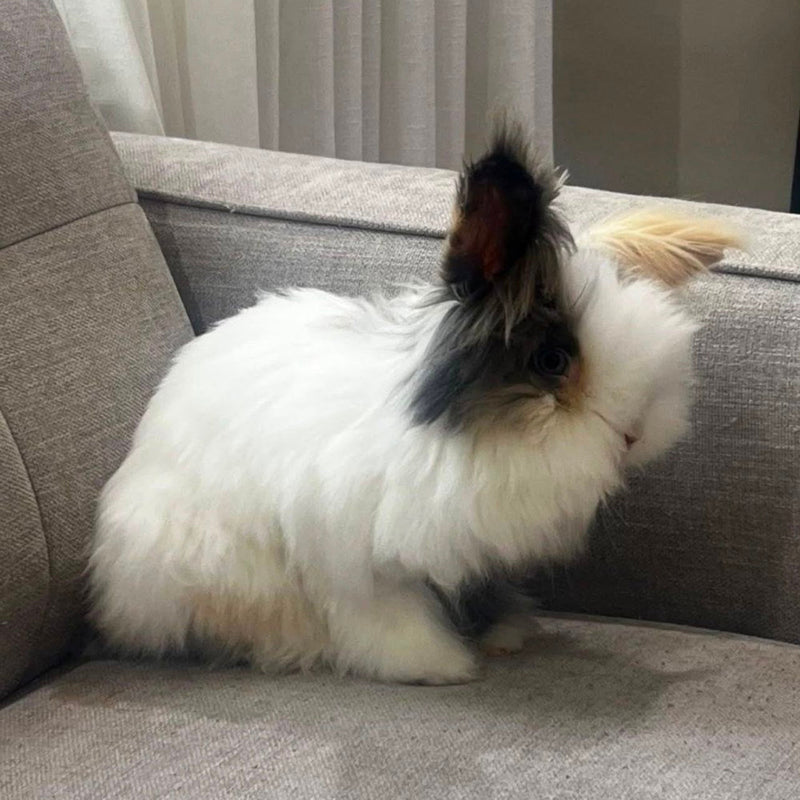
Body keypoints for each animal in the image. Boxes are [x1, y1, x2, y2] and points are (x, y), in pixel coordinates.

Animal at [89, 123, 740, 684]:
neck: (472, 441)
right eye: (552, 361)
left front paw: (502, 633)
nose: (635, 435)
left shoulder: (468, 552)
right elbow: (386, 616)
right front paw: (437, 665)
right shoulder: (355, 555)